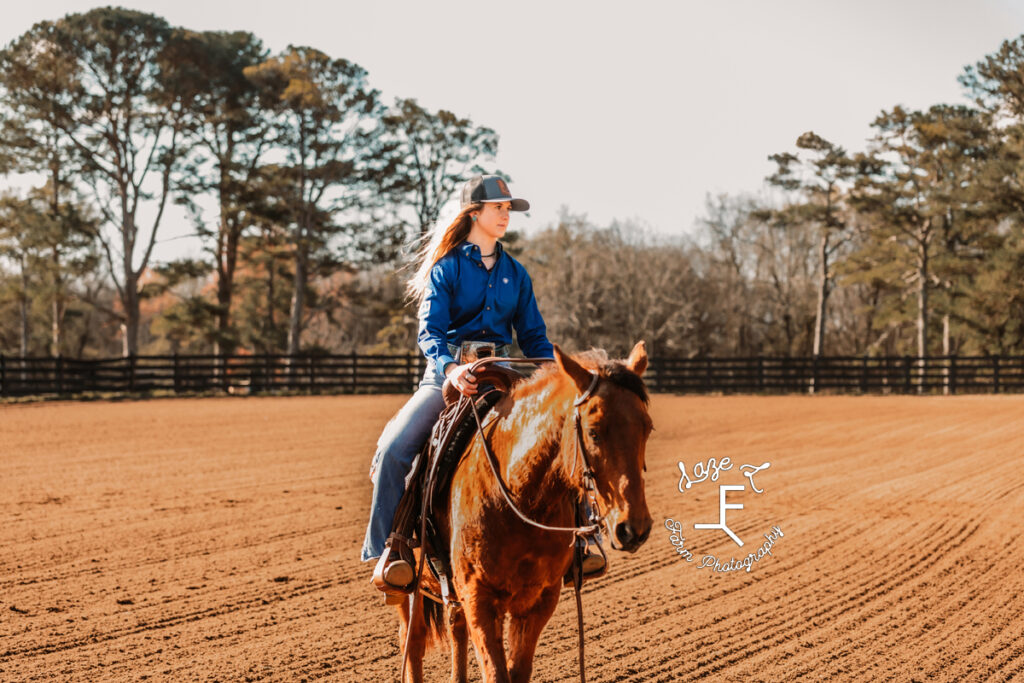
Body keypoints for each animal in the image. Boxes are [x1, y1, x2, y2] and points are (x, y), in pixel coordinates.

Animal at [395, 342, 651, 683]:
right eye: (594, 432)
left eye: (647, 428)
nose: (633, 528)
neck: (518, 496)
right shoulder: (479, 597)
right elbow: (496, 672)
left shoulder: (538, 599)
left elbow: (517, 671)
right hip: (410, 589)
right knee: (413, 642)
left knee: (455, 628)